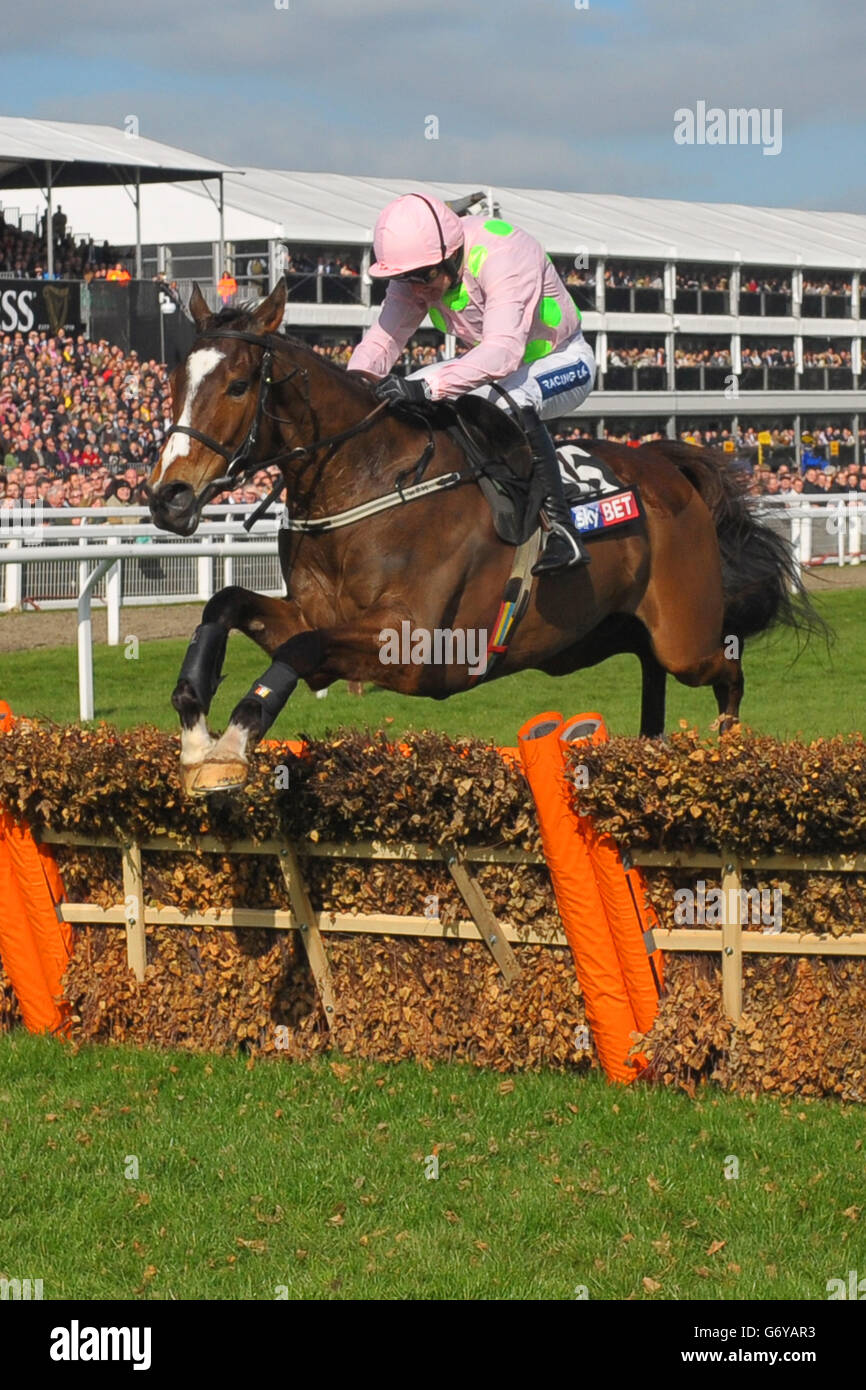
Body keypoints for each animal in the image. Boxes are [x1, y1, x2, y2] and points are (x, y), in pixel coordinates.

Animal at [145, 282, 817, 795]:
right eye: (174, 381)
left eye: (237, 385)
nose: (167, 496)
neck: (368, 485)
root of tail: (666, 463)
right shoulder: (318, 616)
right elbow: (227, 606)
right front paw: (196, 729)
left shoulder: (414, 647)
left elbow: (299, 649)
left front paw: (231, 744)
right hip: (616, 631)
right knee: (656, 677)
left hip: (687, 638)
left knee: (729, 670)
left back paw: (729, 755)